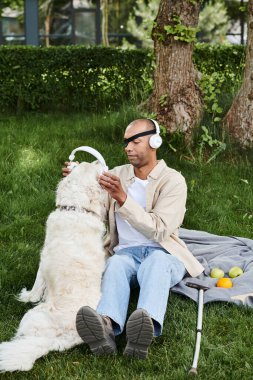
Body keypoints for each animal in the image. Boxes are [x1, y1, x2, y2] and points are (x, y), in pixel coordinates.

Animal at [0, 162, 106, 372]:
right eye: (86, 164)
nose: (99, 162)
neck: (75, 208)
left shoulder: (43, 259)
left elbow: (36, 286)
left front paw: (27, 296)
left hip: (31, 317)